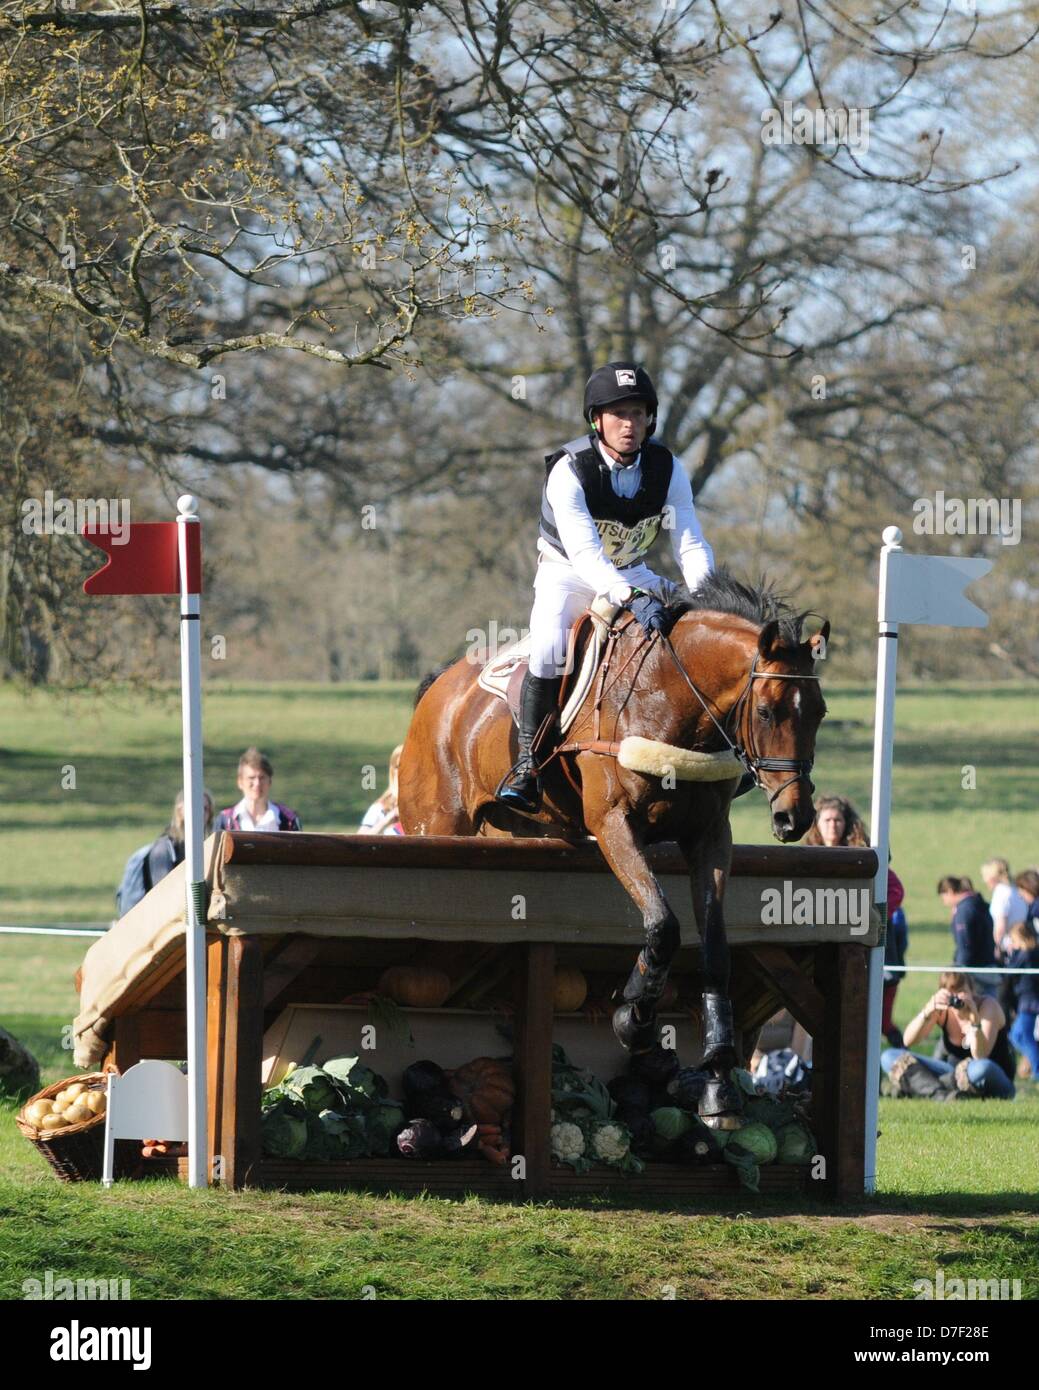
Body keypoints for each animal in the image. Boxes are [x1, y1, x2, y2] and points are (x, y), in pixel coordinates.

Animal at [395, 575, 828, 1128]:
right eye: (768, 711)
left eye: (819, 713)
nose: (795, 819)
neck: (671, 698)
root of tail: (440, 689)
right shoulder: (614, 825)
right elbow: (663, 925)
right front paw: (633, 1020)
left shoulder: (710, 838)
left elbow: (714, 948)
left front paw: (717, 1081)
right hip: (437, 827)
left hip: (515, 833)